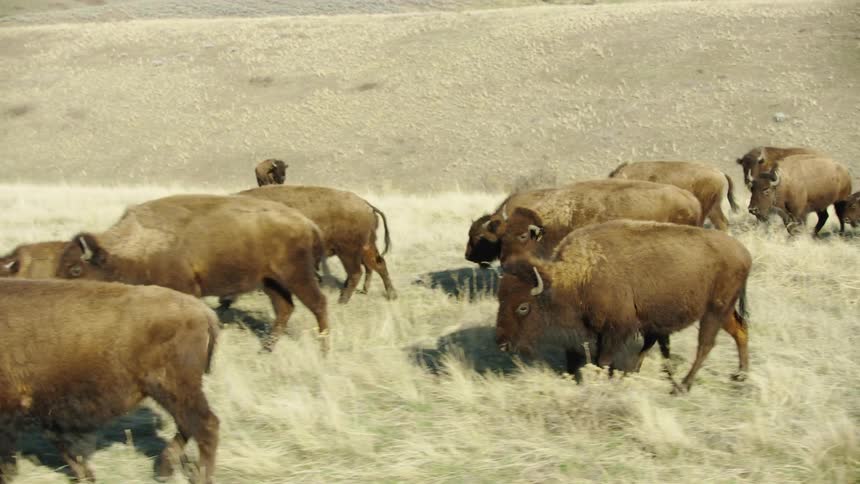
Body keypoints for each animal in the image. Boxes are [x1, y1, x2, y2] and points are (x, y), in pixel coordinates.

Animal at [0, 279, 219, 483]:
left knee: (205, 425)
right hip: (172, 392)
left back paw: (197, 476)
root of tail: (202, 311)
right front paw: (87, 476)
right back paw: (164, 469)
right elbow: (62, 444)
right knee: (188, 425)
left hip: (172, 388)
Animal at [54, 194, 329, 351]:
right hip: (269, 281)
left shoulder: (185, 290)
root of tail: (307, 224)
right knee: (284, 309)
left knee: (318, 303)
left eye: (76, 269)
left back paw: (324, 350)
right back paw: (266, 350)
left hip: (295, 275)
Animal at [495, 219, 752, 394]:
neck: (578, 276)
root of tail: (744, 252)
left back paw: (682, 386)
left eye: (523, 307)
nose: (502, 344)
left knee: (705, 345)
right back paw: (740, 375)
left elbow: (603, 360)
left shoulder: (615, 331)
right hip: (723, 311)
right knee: (740, 330)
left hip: (714, 311)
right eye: (500, 300)